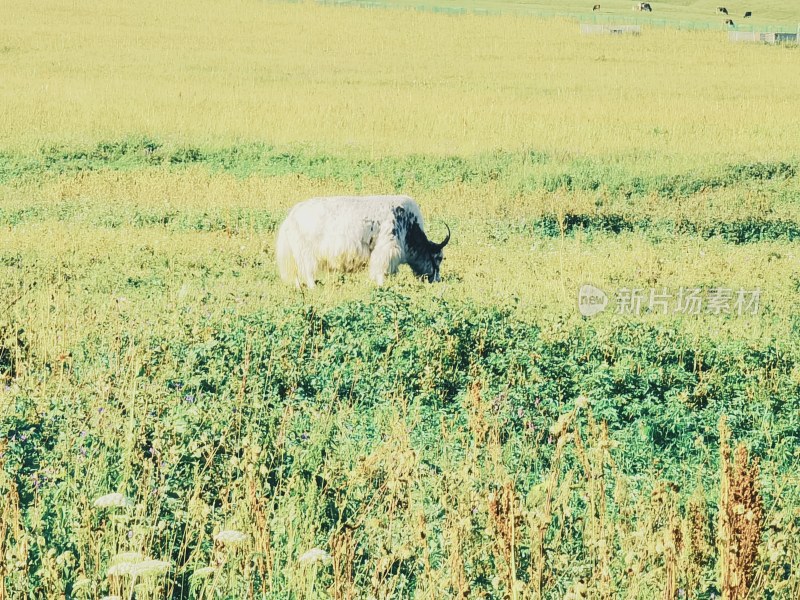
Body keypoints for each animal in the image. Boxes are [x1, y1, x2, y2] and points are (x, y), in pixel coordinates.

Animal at [276, 196, 450, 288]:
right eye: (439, 258)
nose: (437, 280)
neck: (409, 225)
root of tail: (291, 217)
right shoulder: (387, 247)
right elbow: (381, 269)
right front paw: (381, 285)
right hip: (306, 253)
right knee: (307, 271)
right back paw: (313, 288)